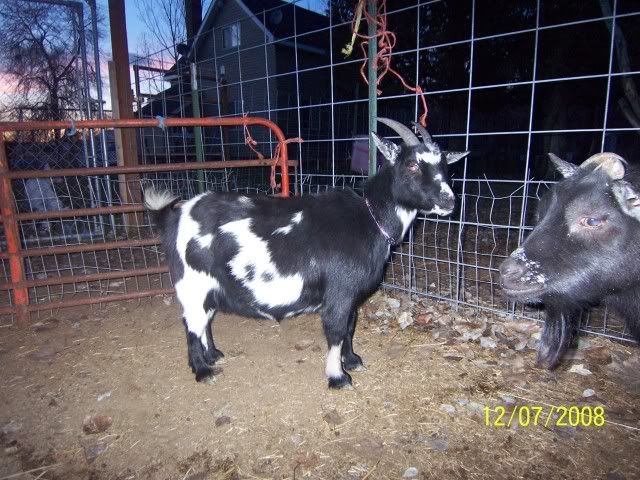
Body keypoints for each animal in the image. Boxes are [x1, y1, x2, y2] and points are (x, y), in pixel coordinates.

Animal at [145, 118, 469, 388]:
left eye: (445, 166)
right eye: (412, 164)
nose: (449, 201)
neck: (370, 217)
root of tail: (175, 216)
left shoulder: (351, 296)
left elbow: (350, 326)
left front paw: (352, 361)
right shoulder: (339, 292)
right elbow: (336, 330)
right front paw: (338, 377)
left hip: (210, 286)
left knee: (205, 322)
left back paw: (213, 355)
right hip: (192, 283)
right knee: (191, 325)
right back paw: (202, 370)